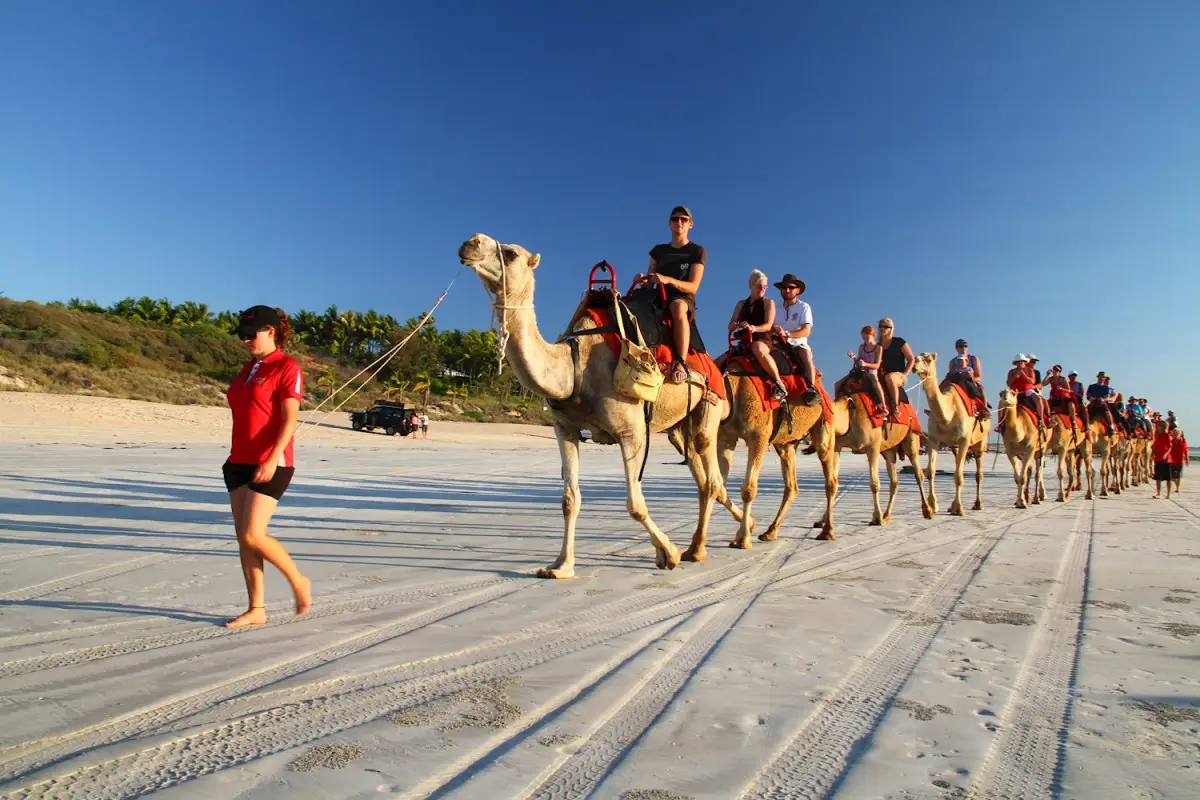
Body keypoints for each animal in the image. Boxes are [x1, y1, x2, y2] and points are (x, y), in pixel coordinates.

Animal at [459, 234, 738, 578]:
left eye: (510, 253)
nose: (470, 243)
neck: (575, 365)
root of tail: (714, 366)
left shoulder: (632, 431)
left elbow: (635, 504)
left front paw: (669, 553)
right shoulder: (565, 429)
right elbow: (569, 500)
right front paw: (561, 566)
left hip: (709, 407)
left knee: (711, 478)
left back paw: (698, 549)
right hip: (678, 427)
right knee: (705, 480)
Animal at [912, 353, 987, 516]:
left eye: (929, 359)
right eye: (915, 358)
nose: (914, 367)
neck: (949, 412)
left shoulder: (964, 439)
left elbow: (958, 476)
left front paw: (959, 508)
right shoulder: (933, 439)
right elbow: (931, 471)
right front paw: (933, 505)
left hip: (980, 442)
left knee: (978, 473)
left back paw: (978, 504)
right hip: (954, 446)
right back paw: (951, 505)